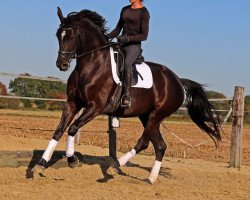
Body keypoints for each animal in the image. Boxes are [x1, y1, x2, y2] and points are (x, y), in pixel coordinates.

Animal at [32, 7, 222, 183]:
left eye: (71, 37)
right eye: (58, 35)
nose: (62, 64)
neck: (92, 64)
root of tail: (177, 80)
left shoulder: (95, 107)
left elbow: (72, 128)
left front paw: (72, 160)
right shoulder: (72, 103)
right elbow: (58, 131)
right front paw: (40, 164)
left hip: (157, 114)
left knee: (144, 143)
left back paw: (115, 166)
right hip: (147, 116)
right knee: (160, 146)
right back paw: (150, 179)